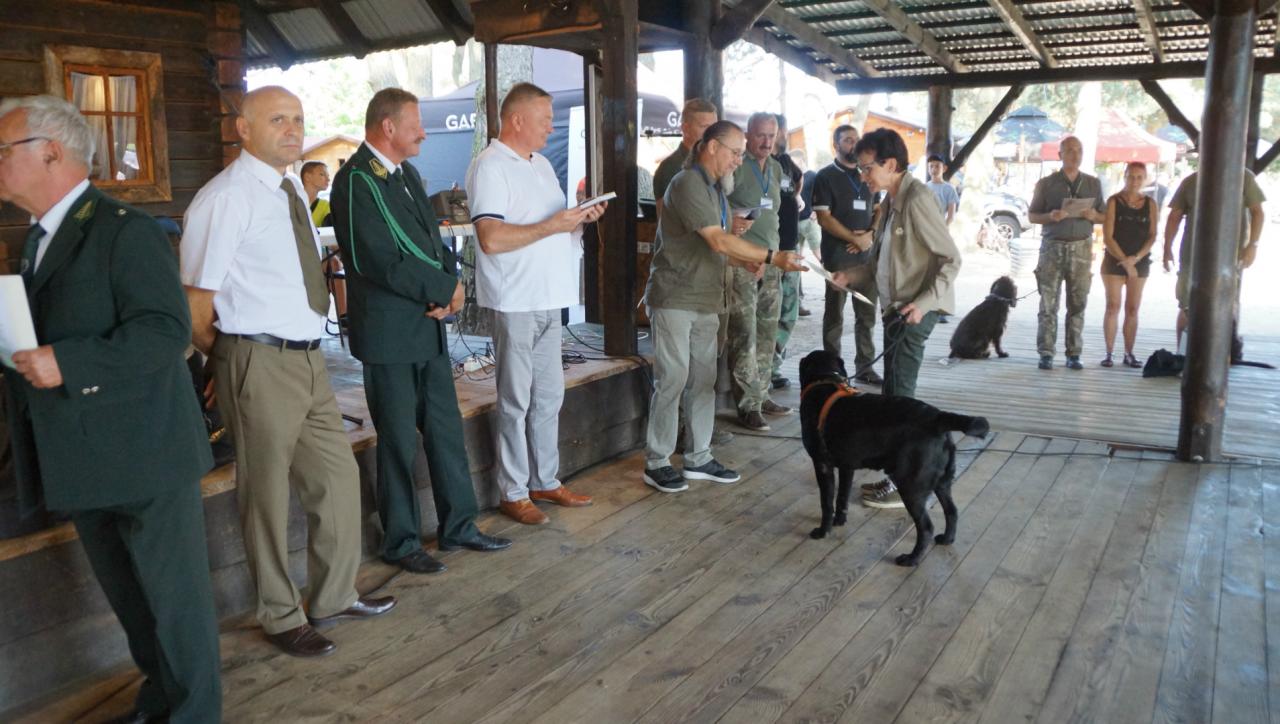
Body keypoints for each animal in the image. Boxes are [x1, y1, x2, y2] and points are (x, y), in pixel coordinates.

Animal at [798, 350, 990, 567]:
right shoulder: (847, 466)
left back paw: (911, 559)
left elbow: (827, 502)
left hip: (911, 486)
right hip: (942, 482)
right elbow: (842, 496)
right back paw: (947, 539)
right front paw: (840, 521)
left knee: (926, 527)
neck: (825, 379)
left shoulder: (822, 464)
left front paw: (823, 531)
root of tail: (938, 418)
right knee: (952, 511)